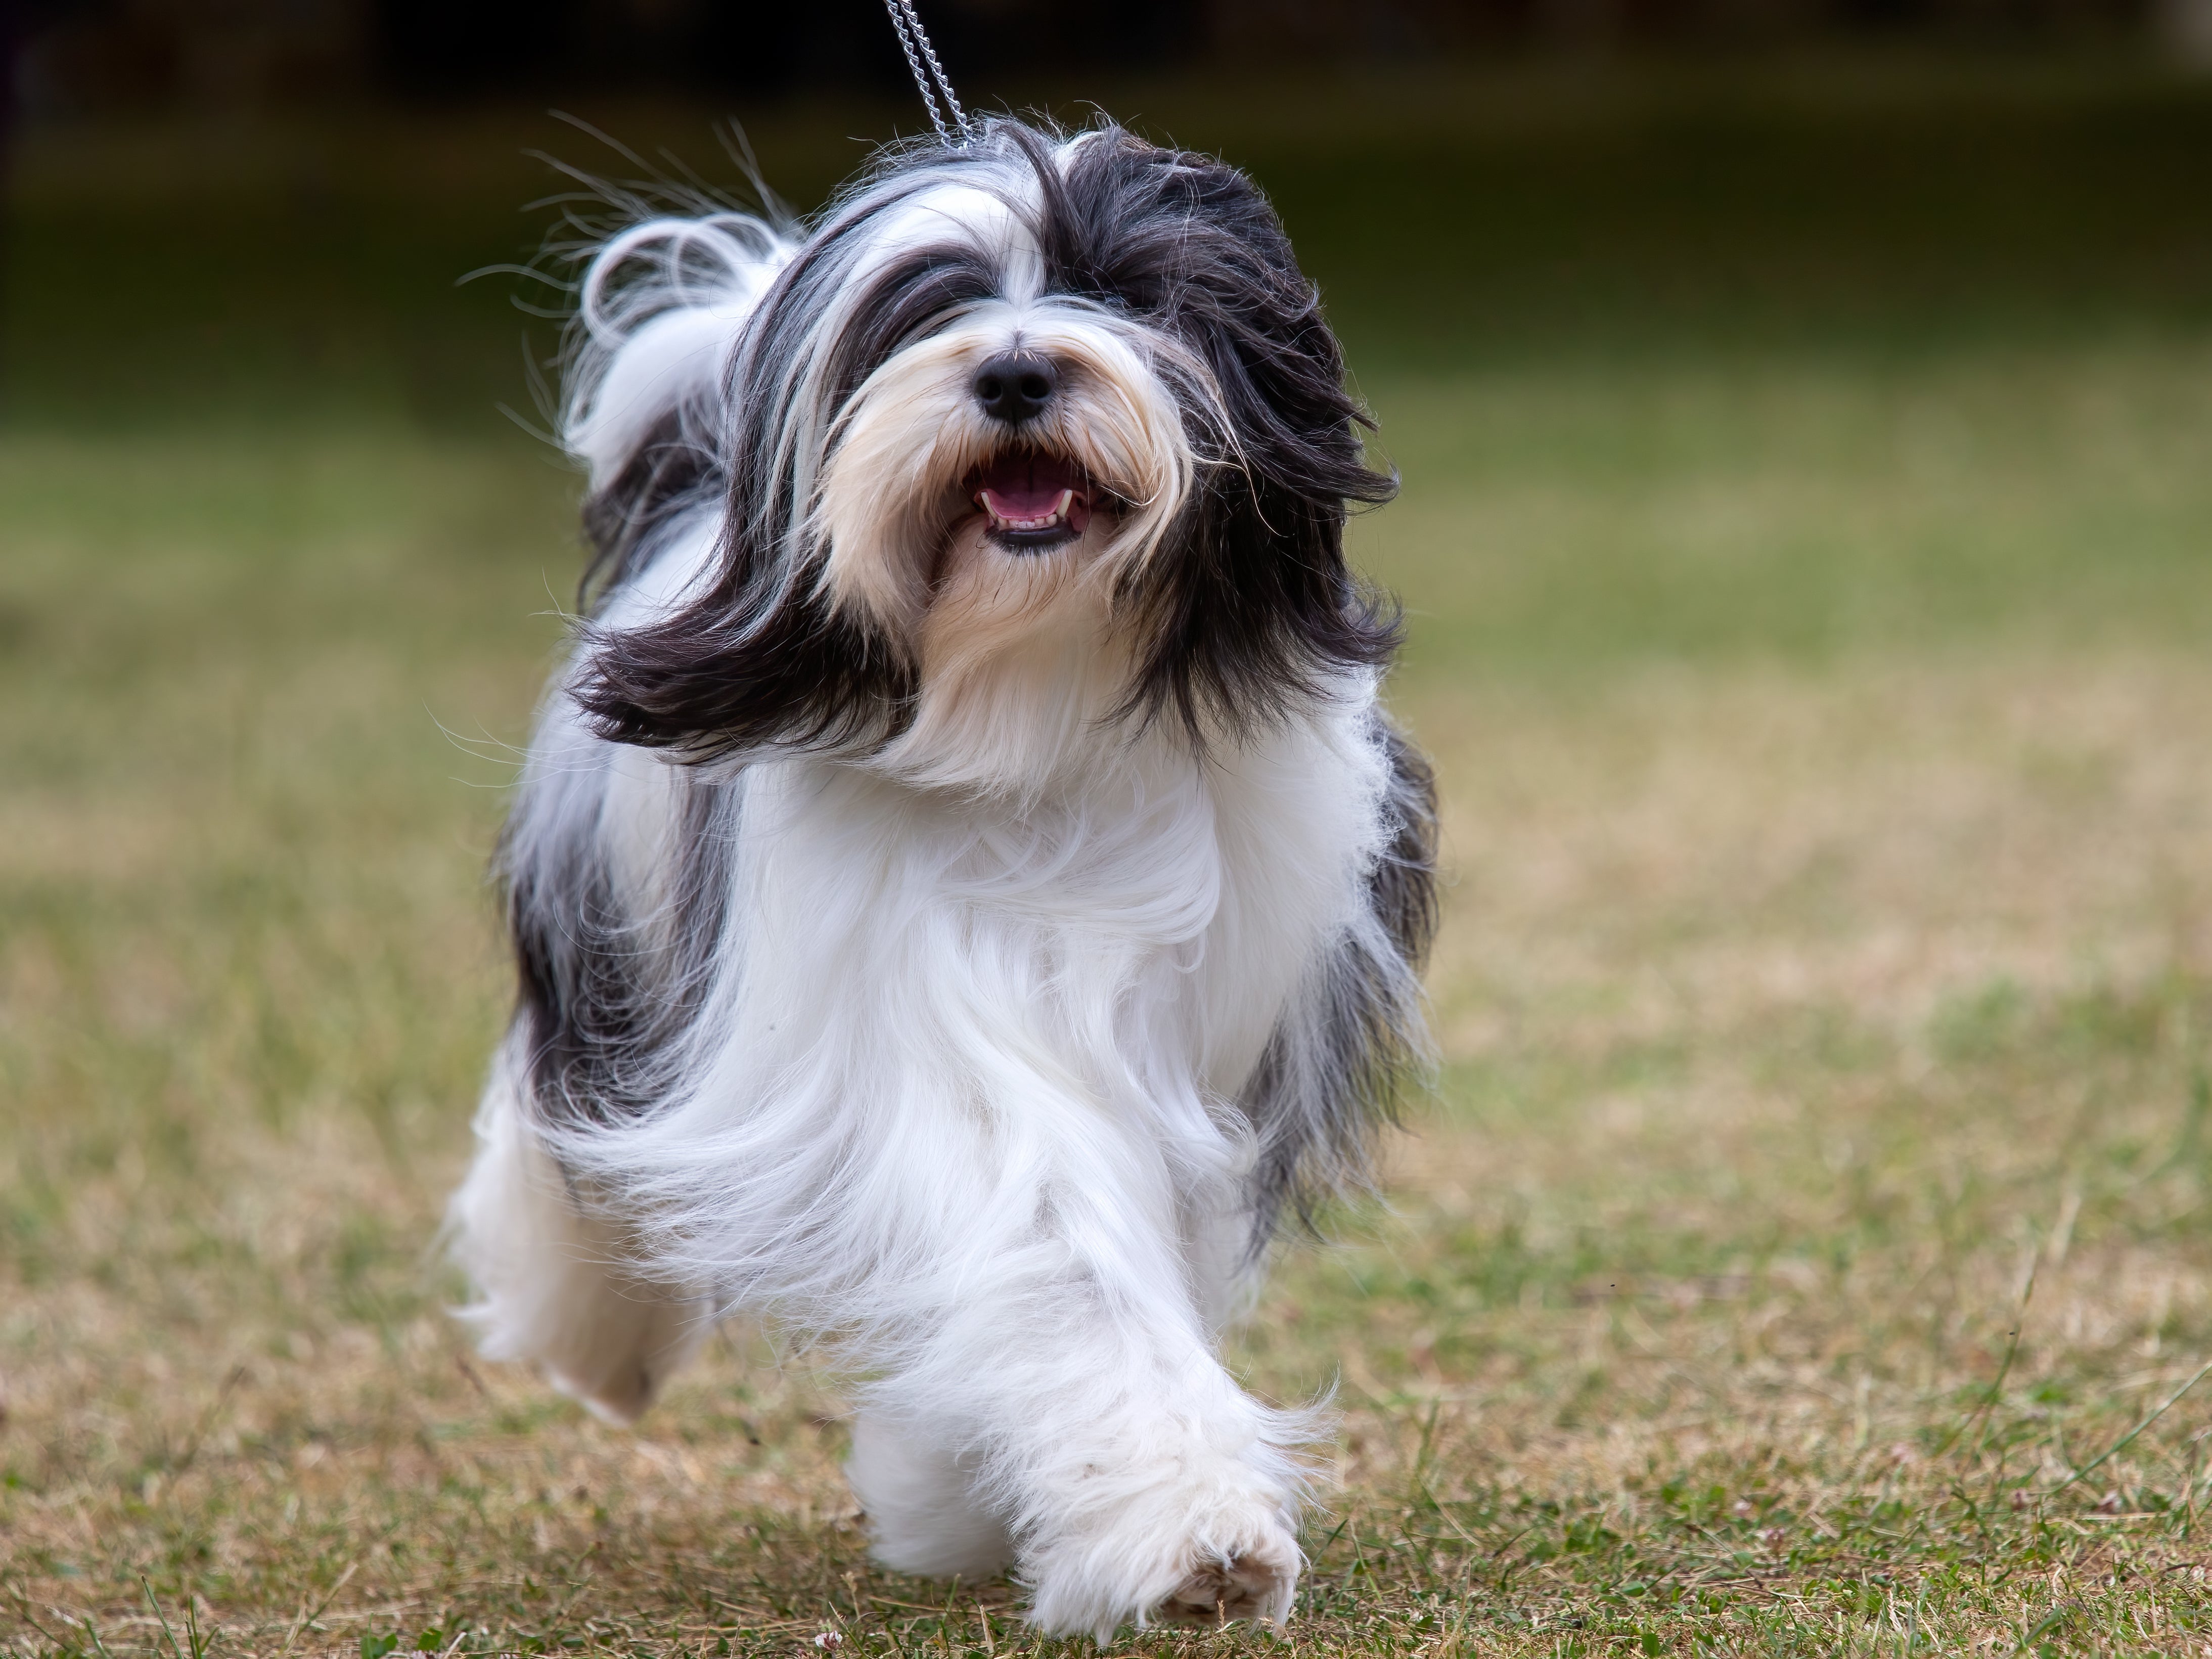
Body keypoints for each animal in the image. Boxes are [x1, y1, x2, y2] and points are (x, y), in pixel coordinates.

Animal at [458, 114, 1442, 1637]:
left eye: (1127, 290)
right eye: (928, 313)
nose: (1019, 369)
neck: (1036, 702)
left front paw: (996, 1500)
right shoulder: (915, 1017)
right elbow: (1054, 1242)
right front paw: (1185, 1526)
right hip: (606, 940)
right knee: (562, 1117)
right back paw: (593, 1328)